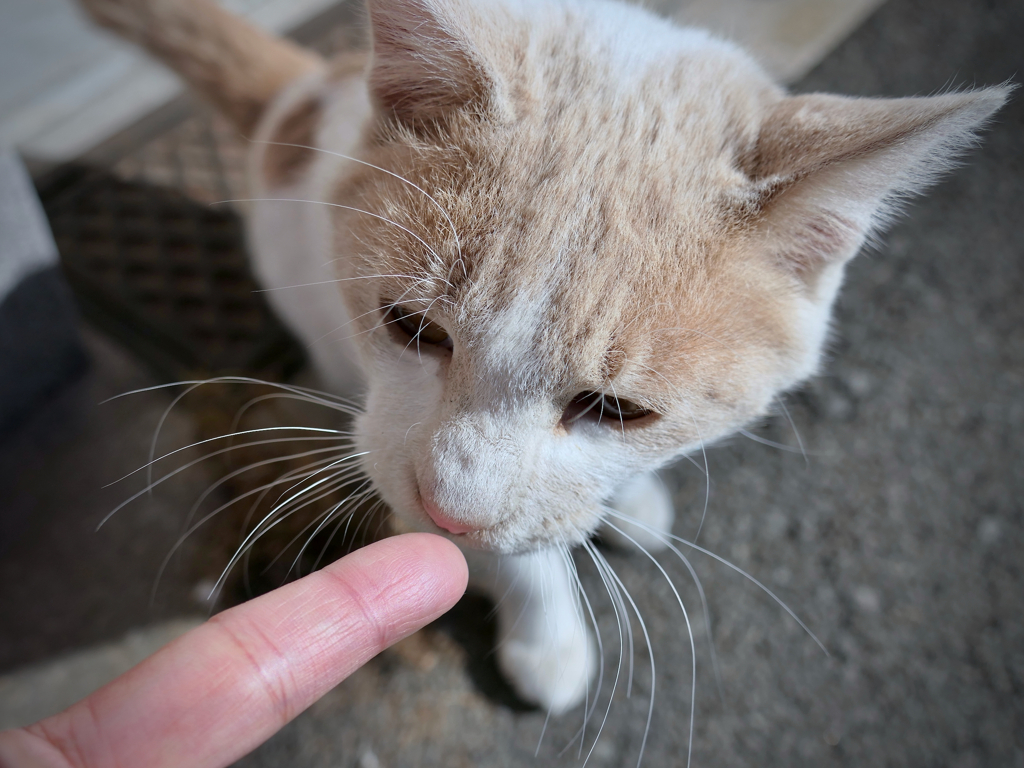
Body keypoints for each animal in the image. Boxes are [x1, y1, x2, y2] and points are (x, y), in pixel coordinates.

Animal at [79, 0, 1007, 724]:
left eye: (620, 410)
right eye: (410, 326)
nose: (446, 510)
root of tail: (301, 95)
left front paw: (629, 498)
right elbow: (517, 551)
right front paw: (546, 633)